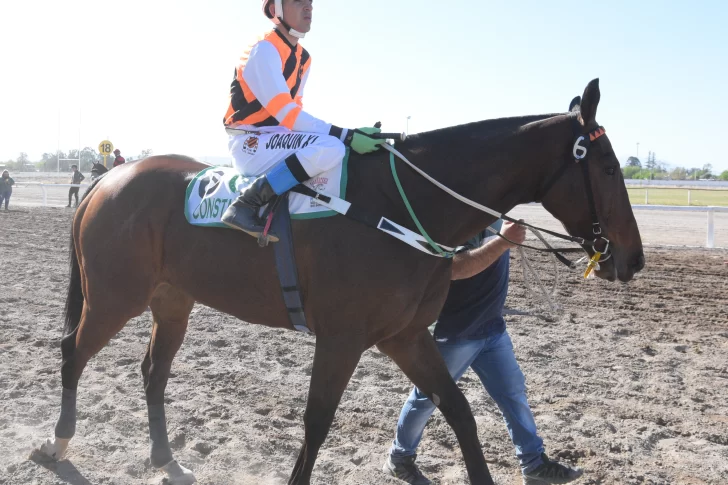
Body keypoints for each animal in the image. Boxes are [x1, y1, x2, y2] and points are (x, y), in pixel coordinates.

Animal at [39, 80, 644, 484]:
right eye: (609, 167)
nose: (633, 258)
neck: (402, 204)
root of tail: (108, 180)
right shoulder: (341, 339)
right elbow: (316, 422)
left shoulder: (405, 336)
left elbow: (460, 413)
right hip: (115, 297)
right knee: (72, 351)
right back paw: (58, 442)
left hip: (172, 301)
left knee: (153, 372)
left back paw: (166, 458)